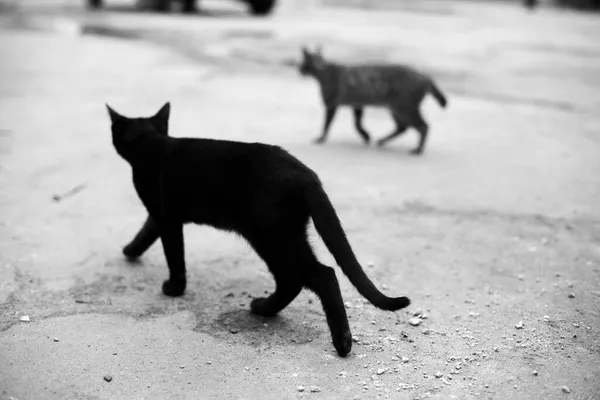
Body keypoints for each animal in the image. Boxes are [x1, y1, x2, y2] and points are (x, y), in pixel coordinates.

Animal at [105, 103, 410, 356]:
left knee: (320, 275)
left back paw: (341, 342)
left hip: (271, 237)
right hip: (283, 236)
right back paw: (264, 309)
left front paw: (174, 288)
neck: (150, 144)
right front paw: (131, 250)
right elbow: (147, 232)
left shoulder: (166, 216)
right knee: (293, 280)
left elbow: (173, 253)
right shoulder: (161, 216)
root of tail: (307, 174)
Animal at [298, 46, 448, 154]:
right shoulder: (357, 103)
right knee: (403, 127)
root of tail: (427, 78)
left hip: (404, 106)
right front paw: (366, 136)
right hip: (396, 107)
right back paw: (382, 141)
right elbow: (357, 123)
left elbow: (327, 123)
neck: (324, 73)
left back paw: (418, 149)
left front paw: (320, 138)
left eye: (303, 63)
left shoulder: (332, 103)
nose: (299, 70)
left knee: (423, 126)